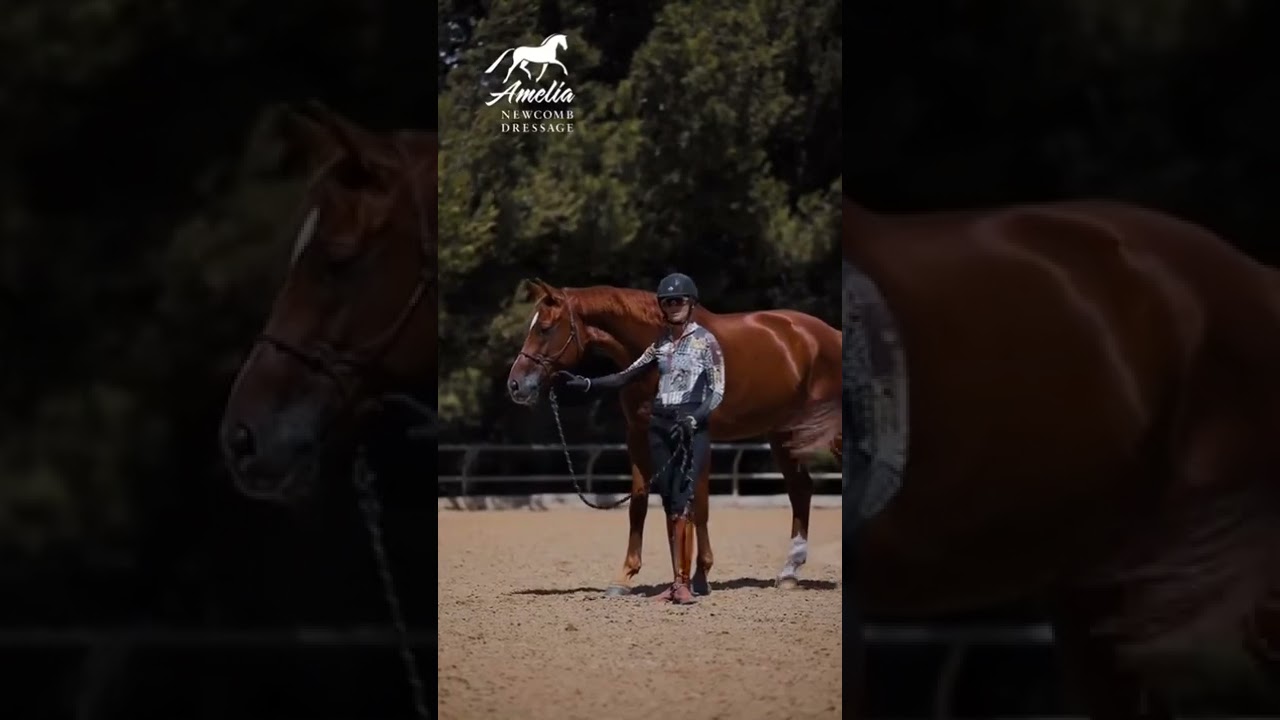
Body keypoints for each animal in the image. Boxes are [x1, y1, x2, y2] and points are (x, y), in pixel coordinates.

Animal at [506, 279, 843, 596]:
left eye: (546, 328)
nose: (515, 385)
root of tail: (831, 335)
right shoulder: (638, 436)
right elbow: (641, 503)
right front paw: (626, 576)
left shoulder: (696, 437)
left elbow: (699, 505)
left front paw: (700, 576)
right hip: (781, 432)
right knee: (800, 490)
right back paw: (788, 573)